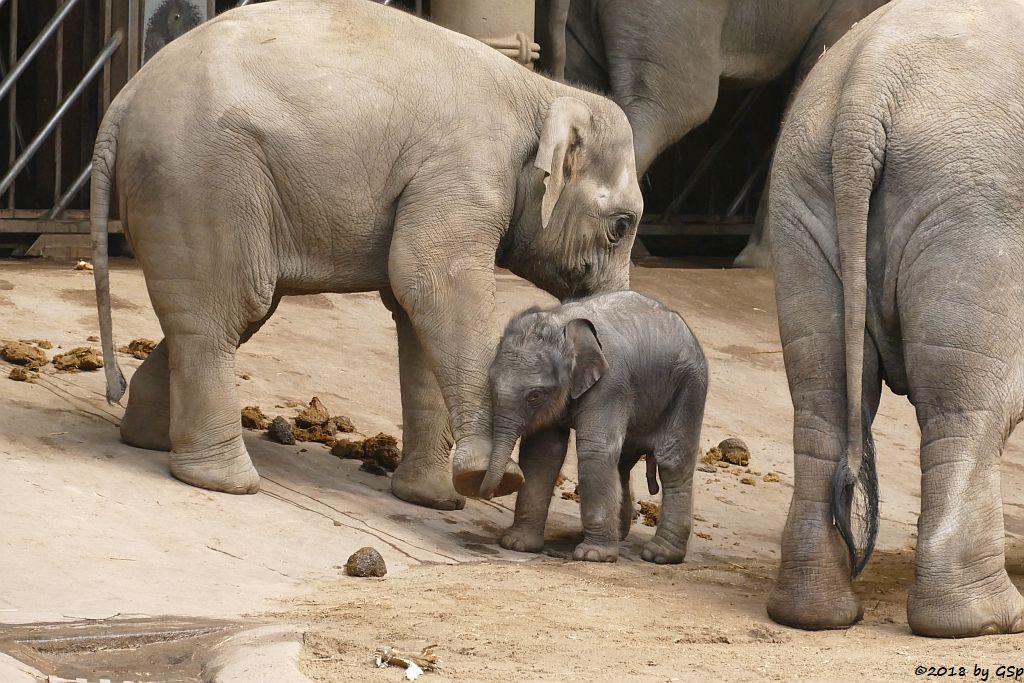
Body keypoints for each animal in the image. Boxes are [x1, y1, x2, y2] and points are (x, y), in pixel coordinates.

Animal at [94, 0, 638, 507]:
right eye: (621, 227)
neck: (542, 92)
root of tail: (124, 99)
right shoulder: (463, 173)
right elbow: (433, 282)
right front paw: (493, 481)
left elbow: (416, 310)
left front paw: (434, 499)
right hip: (202, 179)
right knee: (229, 310)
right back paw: (225, 482)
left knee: (225, 313)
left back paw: (147, 438)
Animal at [477, 290, 704, 565]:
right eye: (490, 382)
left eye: (535, 396)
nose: (489, 492)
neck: (562, 322)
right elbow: (542, 452)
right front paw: (517, 543)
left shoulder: (610, 383)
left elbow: (595, 451)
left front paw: (594, 556)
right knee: (623, 463)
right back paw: (607, 535)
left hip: (689, 389)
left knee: (673, 462)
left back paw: (660, 554)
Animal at [770, 0, 1024, 643]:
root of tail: (869, 84)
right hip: (975, 210)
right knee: (966, 409)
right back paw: (989, 622)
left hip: (798, 196)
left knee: (822, 395)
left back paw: (815, 614)